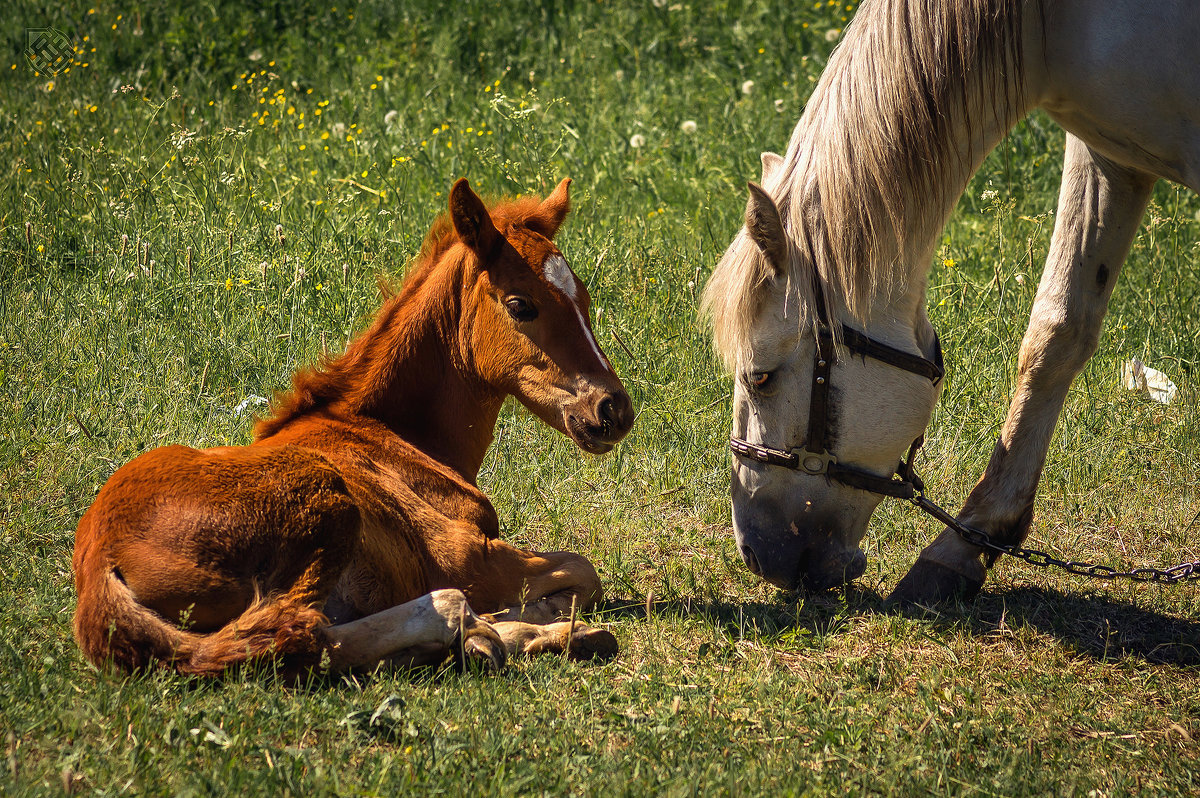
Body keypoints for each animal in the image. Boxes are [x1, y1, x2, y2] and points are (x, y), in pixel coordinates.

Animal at [72, 177, 638, 676]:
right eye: (521, 305)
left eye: (584, 299)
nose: (613, 410)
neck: (385, 433)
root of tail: (99, 564)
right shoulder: (466, 558)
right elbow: (583, 572)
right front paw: (521, 620)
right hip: (324, 504)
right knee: (296, 633)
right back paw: (465, 629)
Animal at [700, 0, 1200, 600]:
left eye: (761, 377)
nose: (757, 555)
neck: (1055, 22)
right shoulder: (1106, 153)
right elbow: (1056, 331)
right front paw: (966, 545)